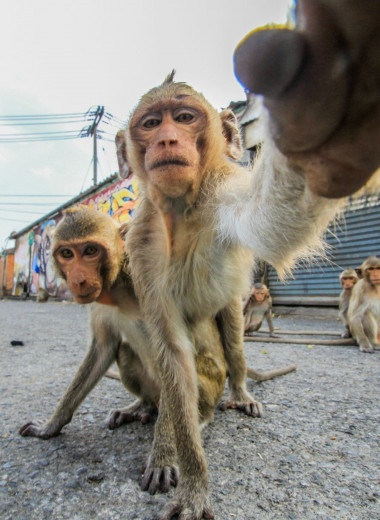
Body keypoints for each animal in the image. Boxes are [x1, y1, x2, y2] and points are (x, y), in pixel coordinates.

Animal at [19, 205, 296, 494]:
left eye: (91, 251)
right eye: (67, 254)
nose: (79, 280)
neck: (118, 287)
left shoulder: (154, 285)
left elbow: (177, 358)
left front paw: (162, 457)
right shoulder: (102, 302)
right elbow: (103, 350)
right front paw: (50, 426)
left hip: (211, 388)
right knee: (125, 352)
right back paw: (141, 407)